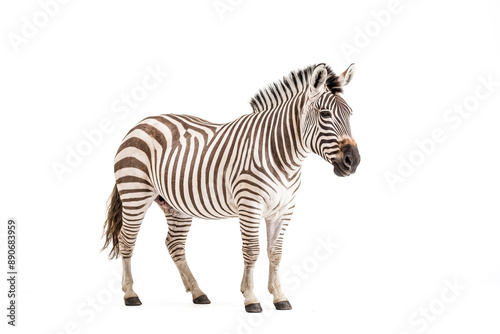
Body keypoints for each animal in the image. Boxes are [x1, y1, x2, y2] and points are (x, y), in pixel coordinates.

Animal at [101, 62, 360, 314]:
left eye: (350, 114)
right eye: (325, 114)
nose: (353, 161)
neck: (282, 155)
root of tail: (142, 122)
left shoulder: (284, 209)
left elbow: (275, 253)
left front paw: (279, 297)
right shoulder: (250, 204)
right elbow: (252, 250)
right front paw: (251, 298)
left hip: (176, 205)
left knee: (174, 244)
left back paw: (198, 293)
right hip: (134, 192)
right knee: (127, 239)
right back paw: (131, 294)